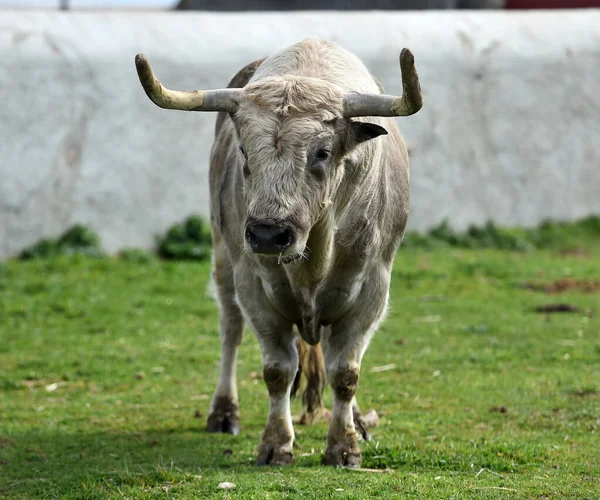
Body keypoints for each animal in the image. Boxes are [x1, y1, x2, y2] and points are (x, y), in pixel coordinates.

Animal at [135, 37, 422, 466]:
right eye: (244, 150)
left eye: (322, 152)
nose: (269, 235)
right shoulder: (254, 286)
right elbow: (277, 371)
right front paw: (275, 444)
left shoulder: (372, 289)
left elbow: (346, 373)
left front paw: (344, 446)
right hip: (224, 260)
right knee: (230, 329)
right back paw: (224, 412)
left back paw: (357, 419)